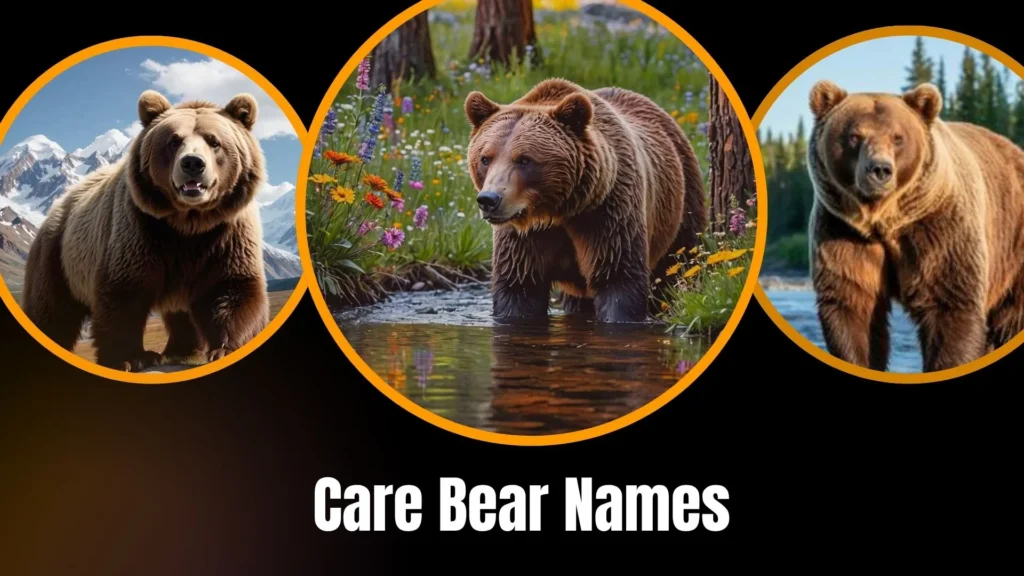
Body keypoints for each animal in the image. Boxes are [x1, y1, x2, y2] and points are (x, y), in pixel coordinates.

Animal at [21, 89, 271, 372]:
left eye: (214, 141)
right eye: (173, 141)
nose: (192, 163)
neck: (189, 223)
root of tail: (60, 202)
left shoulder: (227, 234)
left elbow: (231, 288)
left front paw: (225, 348)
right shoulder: (139, 229)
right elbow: (125, 294)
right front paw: (132, 357)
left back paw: (181, 350)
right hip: (59, 255)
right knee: (51, 311)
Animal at [463, 78, 706, 323]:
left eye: (524, 159)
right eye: (485, 159)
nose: (489, 199)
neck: (557, 210)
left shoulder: (607, 213)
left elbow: (618, 279)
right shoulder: (523, 237)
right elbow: (519, 287)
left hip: (682, 202)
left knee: (678, 262)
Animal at [806, 79, 1024, 372]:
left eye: (898, 138)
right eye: (854, 136)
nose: (880, 169)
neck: (884, 220)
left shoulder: (938, 229)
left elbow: (949, 305)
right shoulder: (843, 231)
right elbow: (852, 304)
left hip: (1013, 245)